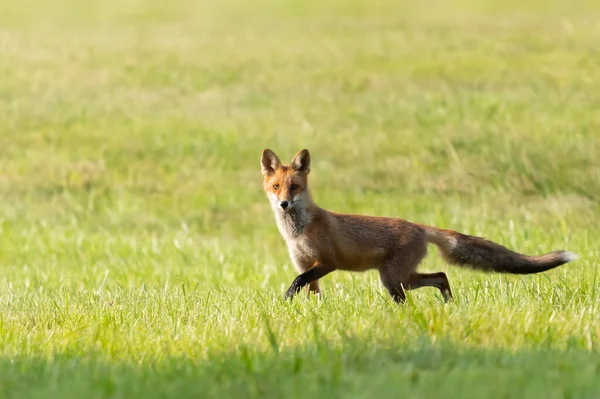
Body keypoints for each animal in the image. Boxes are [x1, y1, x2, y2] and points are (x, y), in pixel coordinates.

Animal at [260, 149, 580, 304]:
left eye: (295, 186)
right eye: (276, 187)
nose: (284, 204)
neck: (298, 231)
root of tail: (417, 226)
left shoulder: (328, 262)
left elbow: (298, 282)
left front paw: (287, 298)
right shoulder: (306, 264)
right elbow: (311, 292)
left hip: (393, 279)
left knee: (435, 279)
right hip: (399, 279)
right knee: (440, 276)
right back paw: (448, 305)